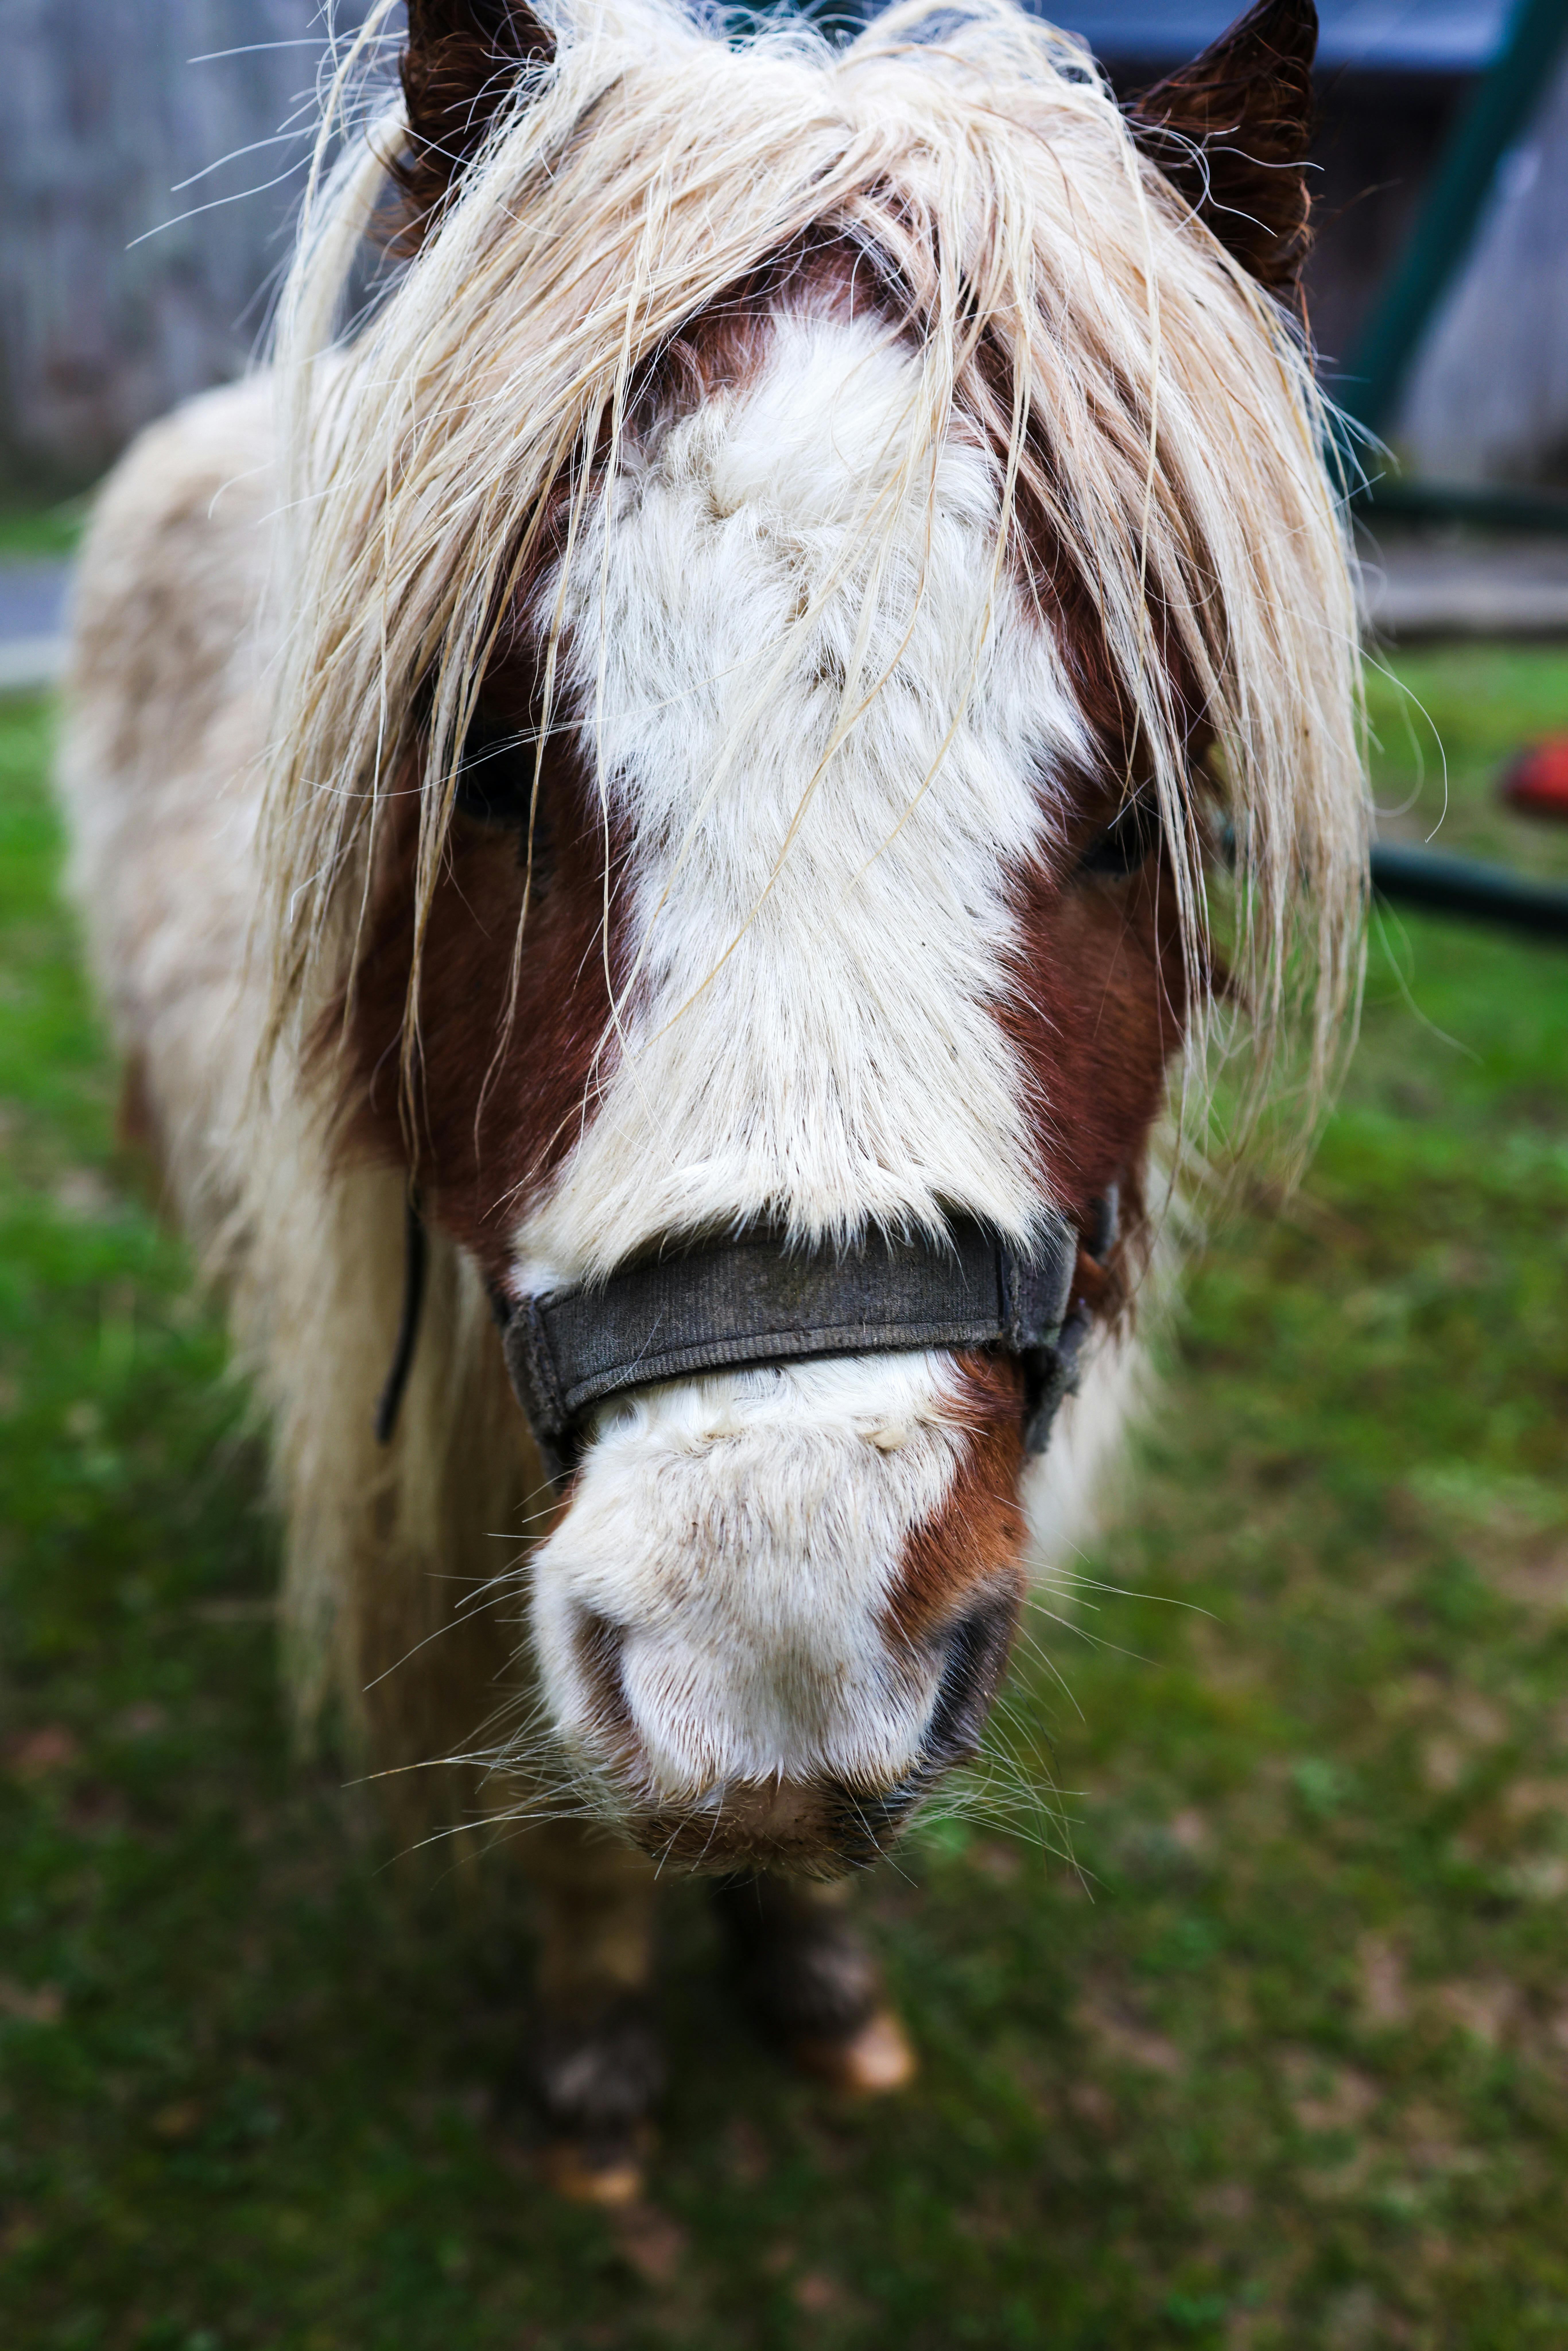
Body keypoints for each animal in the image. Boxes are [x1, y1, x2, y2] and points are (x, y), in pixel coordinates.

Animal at [59, 0, 1365, 2200]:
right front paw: (596, 2048)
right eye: (492, 763)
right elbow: (580, 1813)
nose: (779, 1636)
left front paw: (812, 1962)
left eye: (1135, 813)